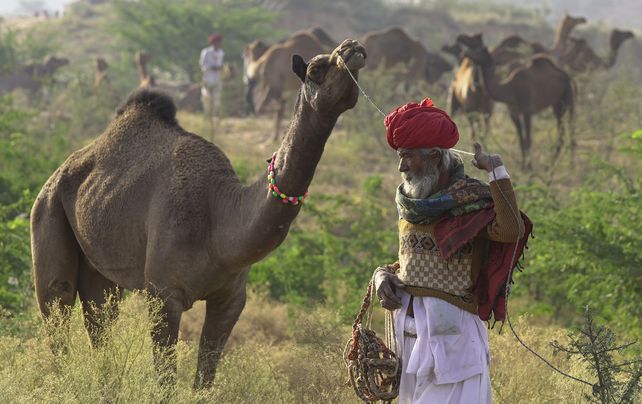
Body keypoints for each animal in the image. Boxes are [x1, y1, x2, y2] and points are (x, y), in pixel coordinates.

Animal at [30, 39, 366, 388]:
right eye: (315, 69)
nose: (353, 47)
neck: (220, 218)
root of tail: (57, 174)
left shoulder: (231, 299)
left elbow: (204, 378)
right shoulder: (163, 294)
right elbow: (165, 380)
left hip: (99, 258)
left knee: (99, 318)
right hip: (47, 210)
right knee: (57, 302)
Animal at [458, 34, 574, 169]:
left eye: (478, 51)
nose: (464, 53)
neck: (510, 89)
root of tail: (566, 75)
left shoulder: (527, 110)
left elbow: (528, 139)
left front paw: (529, 167)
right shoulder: (514, 111)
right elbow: (521, 138)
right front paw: (524, 167)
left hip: (568, 96)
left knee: (571, 127)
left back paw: (570, 164)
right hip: (557, 104)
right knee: (561, 129)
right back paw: (552, 163)